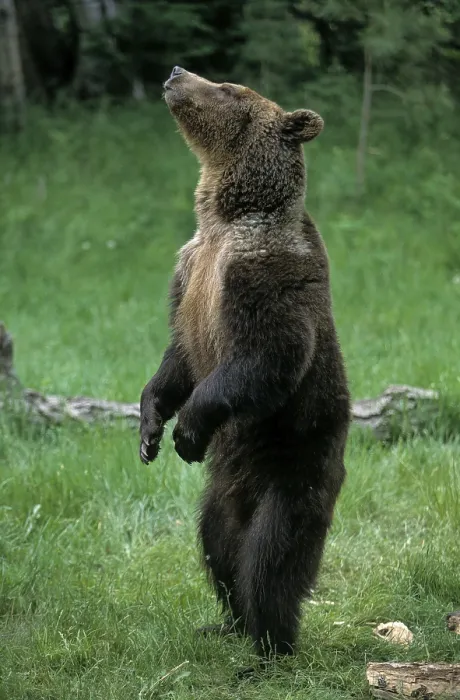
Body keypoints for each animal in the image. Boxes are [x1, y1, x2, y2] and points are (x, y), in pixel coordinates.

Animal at [139, 66, 351, 665]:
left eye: (229, 88)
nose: (175, 72)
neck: (226, 218)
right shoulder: (191, 274)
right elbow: (178, 358)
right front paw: (149, 428)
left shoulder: (265, 274)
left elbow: (267, 357)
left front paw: (188, 429)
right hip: (221, 495)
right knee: (218, 550)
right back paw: (224, 625)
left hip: (296, 469)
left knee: (270, 561)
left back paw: (268, 648)